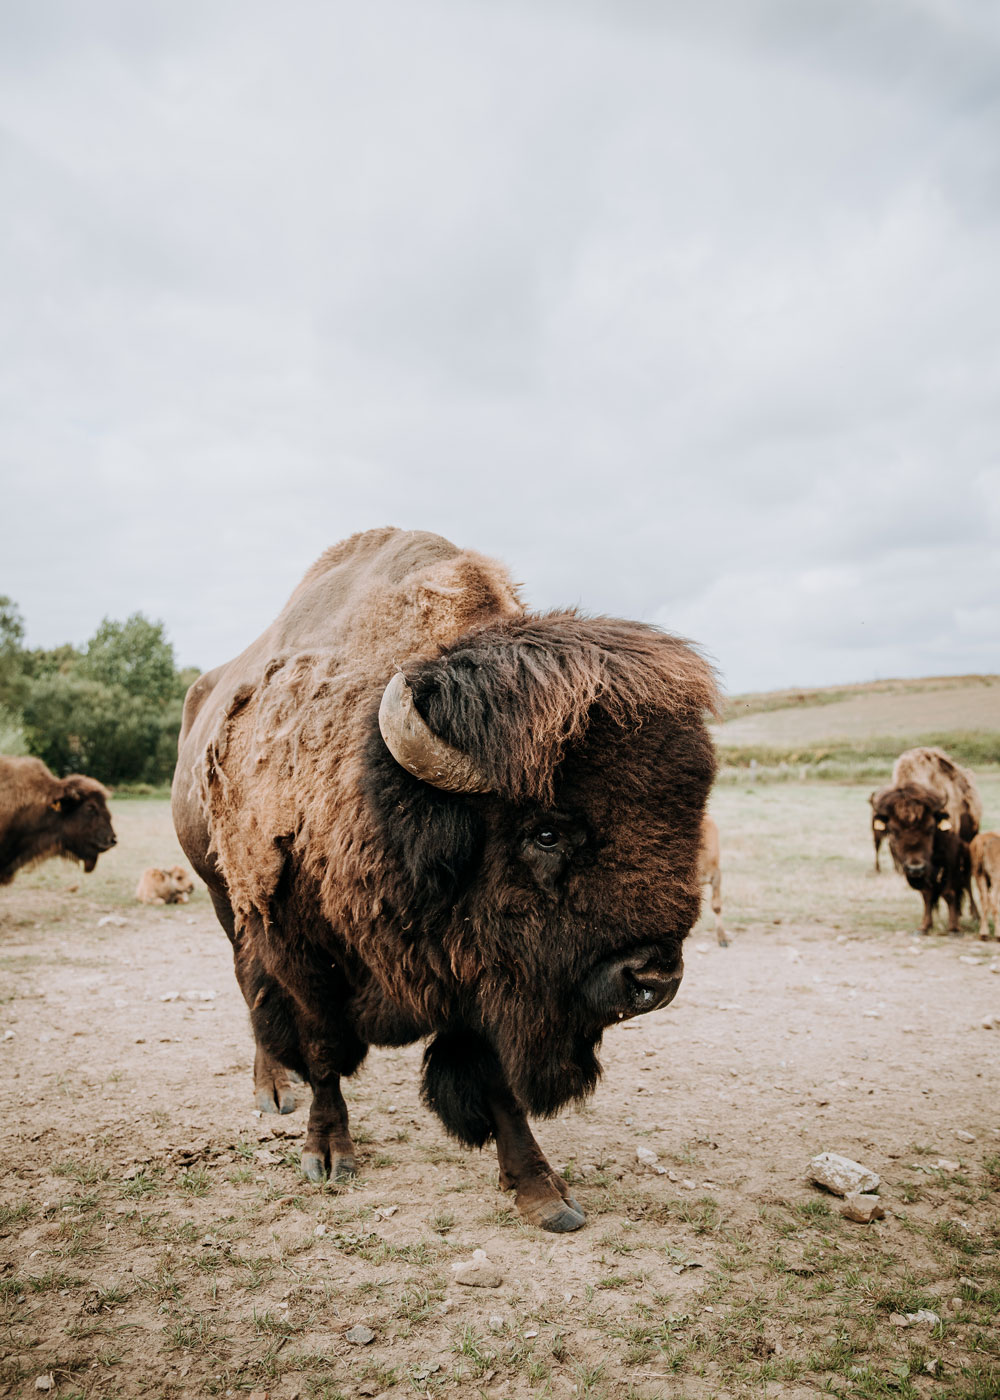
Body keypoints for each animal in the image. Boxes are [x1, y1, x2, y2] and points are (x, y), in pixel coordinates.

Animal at [173, 529, 717, 1232]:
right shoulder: (299, 946)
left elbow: (494, 1081)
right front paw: (328, 1155)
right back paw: (273, 1090)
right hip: (225, 899)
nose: (653, 977)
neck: (382, 800)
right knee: (252, 992)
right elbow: (321, 1049)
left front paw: (543, 1193)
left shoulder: (479, 975)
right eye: (544, 833)